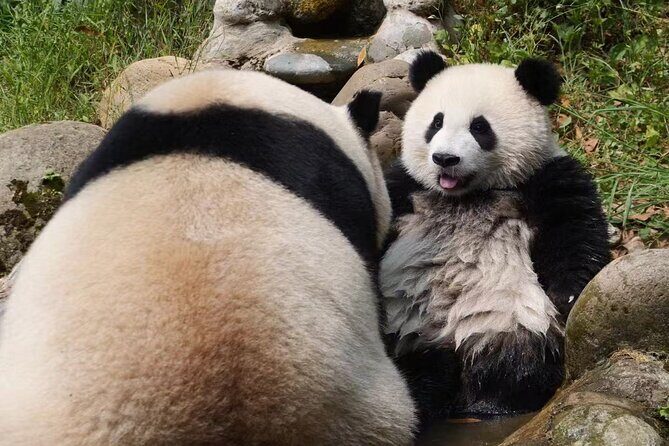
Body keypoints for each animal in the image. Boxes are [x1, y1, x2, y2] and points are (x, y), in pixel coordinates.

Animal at [380, 51, 610, 426]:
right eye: (436, 123)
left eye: (480, 127)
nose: (444, 159)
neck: (465, 196)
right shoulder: (406, 187)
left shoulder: (544, 177)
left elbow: (573, 229)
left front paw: (568, 295)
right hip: (401, 329)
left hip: (505, 319)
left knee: (513, 366)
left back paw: (489, 403)